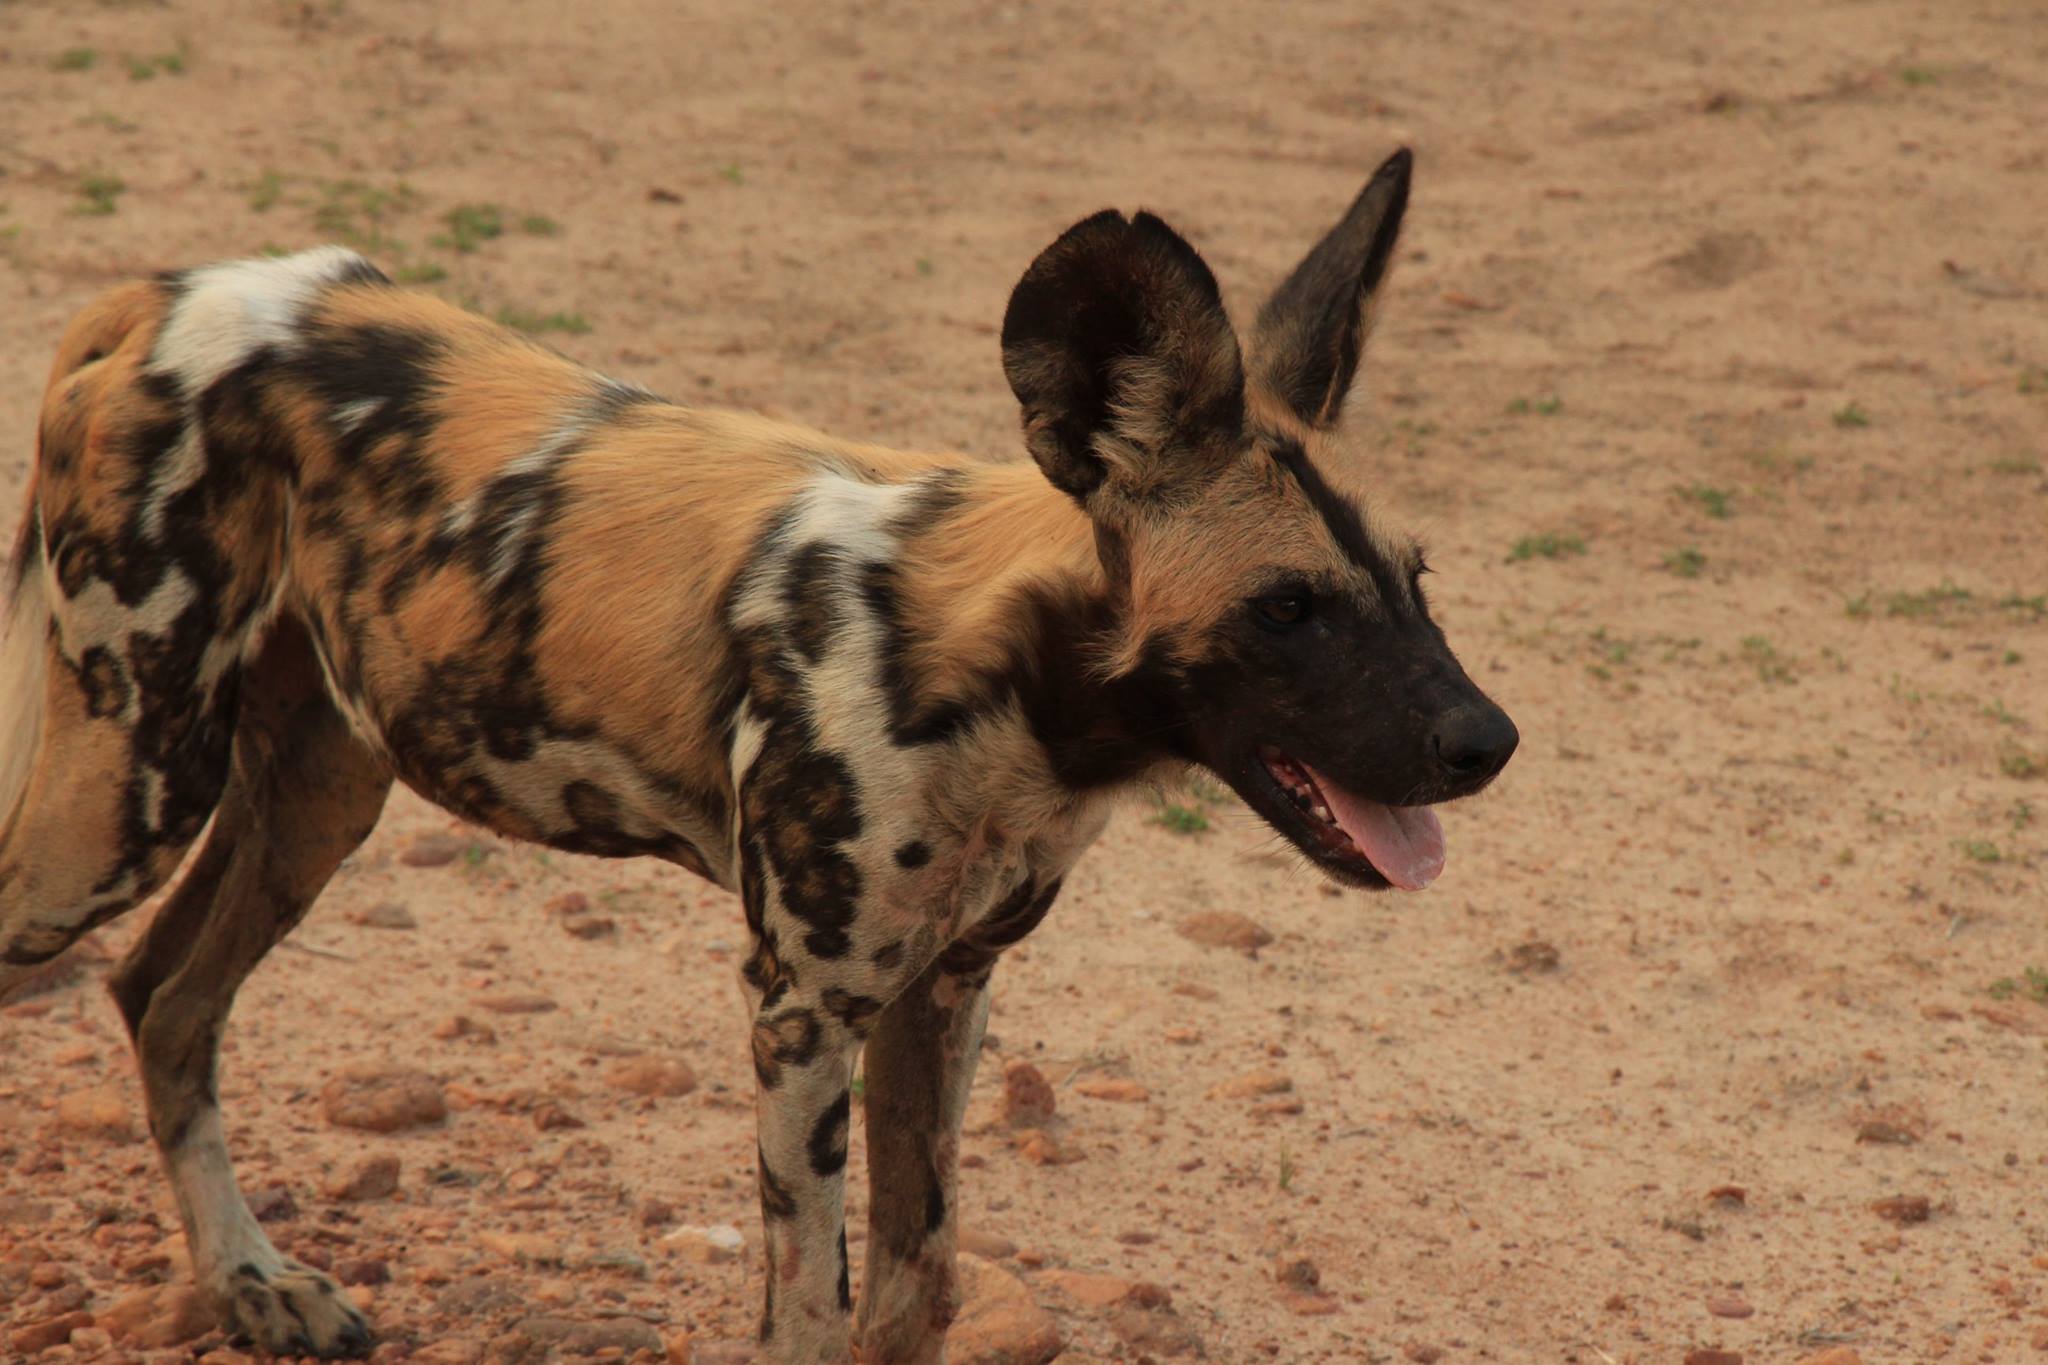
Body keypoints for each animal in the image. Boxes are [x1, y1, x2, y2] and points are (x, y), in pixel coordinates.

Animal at [0, 149, 1507, 1365]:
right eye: (1289, 608)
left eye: (1417, 581)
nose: (1488, 742)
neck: (1003, 693)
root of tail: (160, 291)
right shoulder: (801, 1015)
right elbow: (810, 1318)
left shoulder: (940, 993)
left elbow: (916, 1293)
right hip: (127, 798)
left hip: (316, 793)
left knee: (164, 996)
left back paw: (254, 1283)